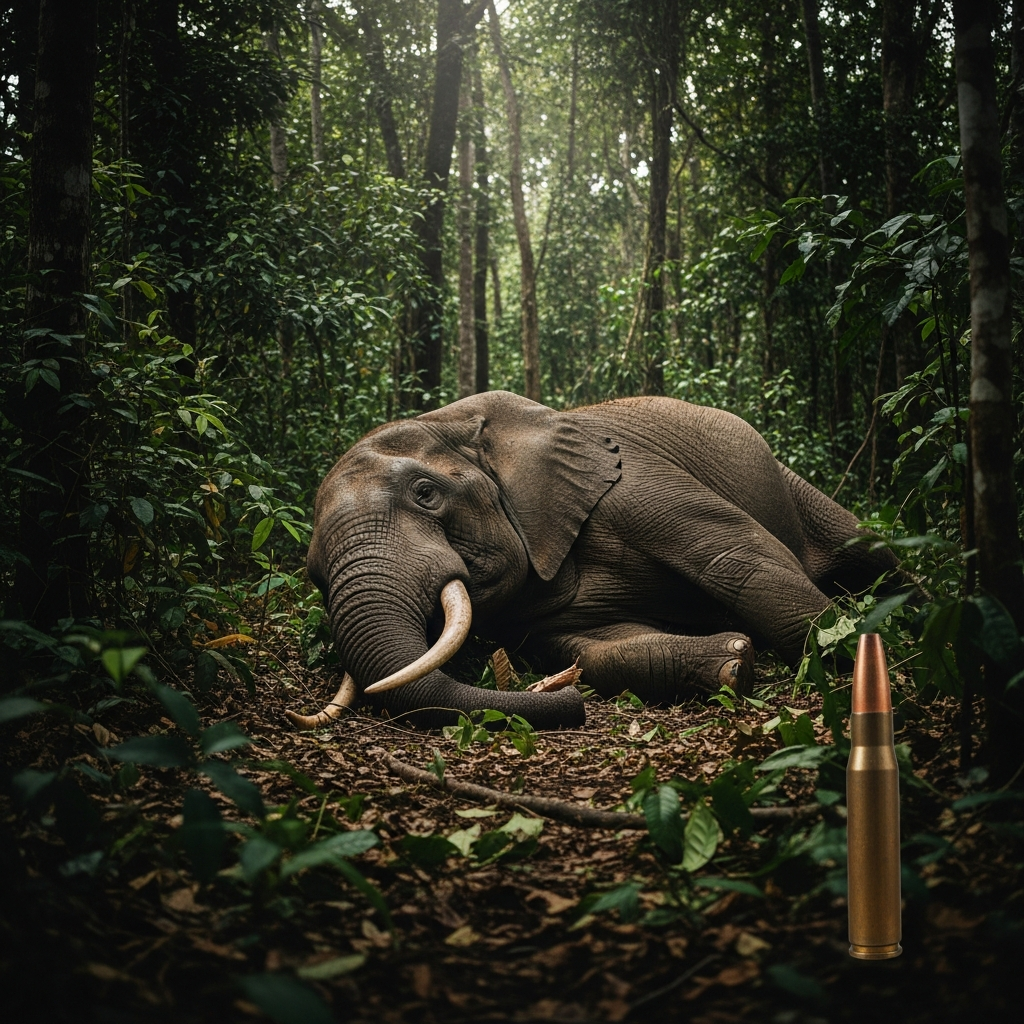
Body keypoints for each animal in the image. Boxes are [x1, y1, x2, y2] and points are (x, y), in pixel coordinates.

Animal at [287, 391, 897, 731]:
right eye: (314, 572)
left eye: (425, 494)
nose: (570, 705)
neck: (459, 421)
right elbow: (595, 649)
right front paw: (734, 661)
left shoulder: (627, 479)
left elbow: (741, 558)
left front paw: (848, 659)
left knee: (866, 549)